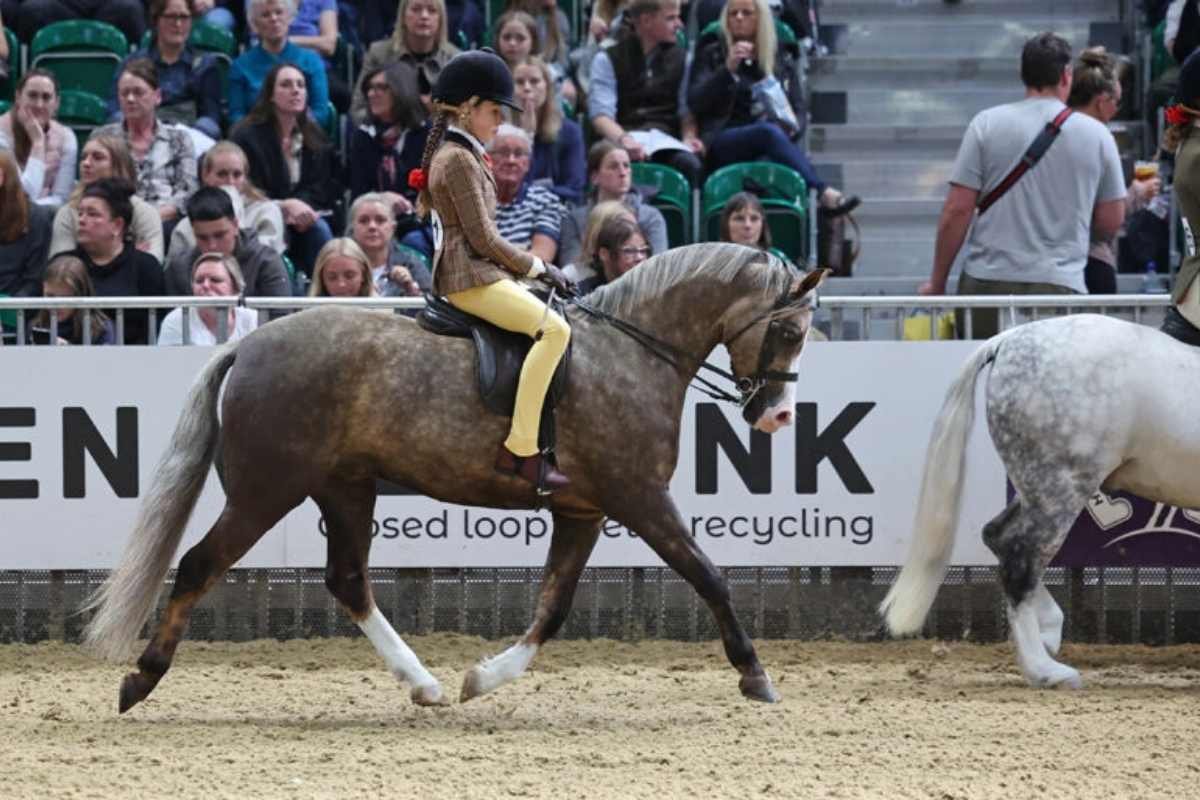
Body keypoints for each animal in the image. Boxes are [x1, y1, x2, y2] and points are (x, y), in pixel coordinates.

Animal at [81, 243, 828, 712]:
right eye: (790, 332)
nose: (778, 416)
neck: (630, 350)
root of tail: (250, 345)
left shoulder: (583, 510)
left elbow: (554, 607)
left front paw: (482, 679)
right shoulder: (640, 497)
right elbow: (708, 575)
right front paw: (755, 674)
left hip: (345, 488)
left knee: (348, 581)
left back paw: (425, 685)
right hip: (267, 491)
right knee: (199, 565)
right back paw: (141, 680)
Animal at [880, 313, 1200, 688]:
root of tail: (1007, 339)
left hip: (1039, 486)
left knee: (998, 536)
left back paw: (1048, 631)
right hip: (1062, 486)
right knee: (1020, 560)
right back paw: (1045, 670)